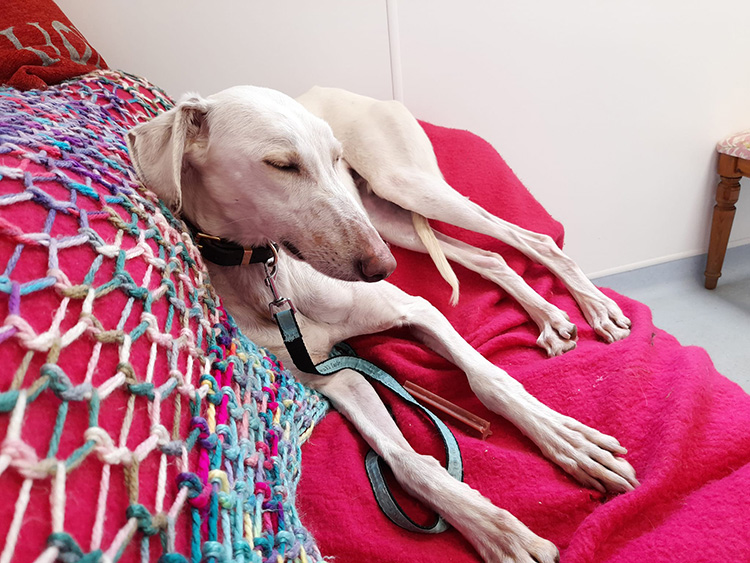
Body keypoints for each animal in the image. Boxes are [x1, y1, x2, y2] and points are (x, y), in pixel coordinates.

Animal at [128, 85, 640, 563]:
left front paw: (568, 441)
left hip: (406, 192)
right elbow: (406, 460)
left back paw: (595, 308)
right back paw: (549, 316)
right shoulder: (336, 378)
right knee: (490, 256)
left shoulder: (417, 309)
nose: (382, 268)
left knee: (529, 238)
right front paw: (496, 530)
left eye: (333, 158)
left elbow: (490, 380)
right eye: (281, 165)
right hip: (389, 222)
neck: (270, 278)